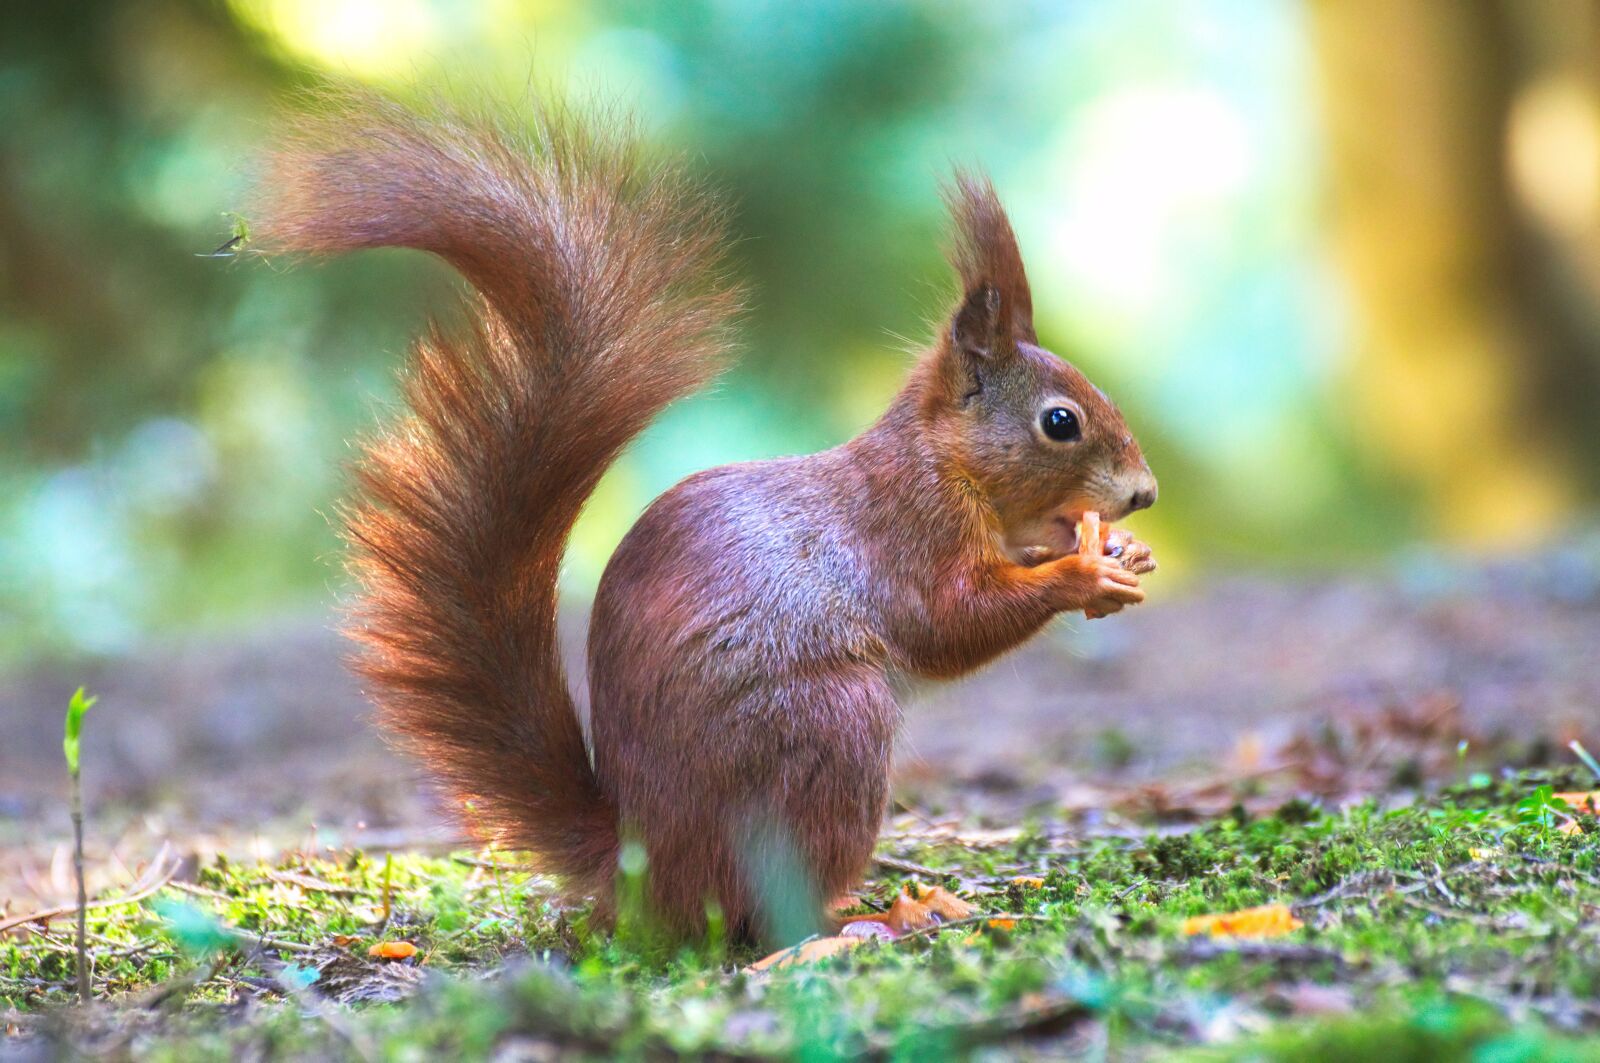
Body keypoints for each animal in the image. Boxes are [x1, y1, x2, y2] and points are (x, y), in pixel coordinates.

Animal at [251, 90, 1157, 944]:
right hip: (832, 731)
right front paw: (1082, 570)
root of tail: (646, 864)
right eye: (1060, 422)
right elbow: (951, 621)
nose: (1145, 493)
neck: (948, 464)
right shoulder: (908, 530)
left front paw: (1120, 549)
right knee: (770, 911)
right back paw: (867, 916)